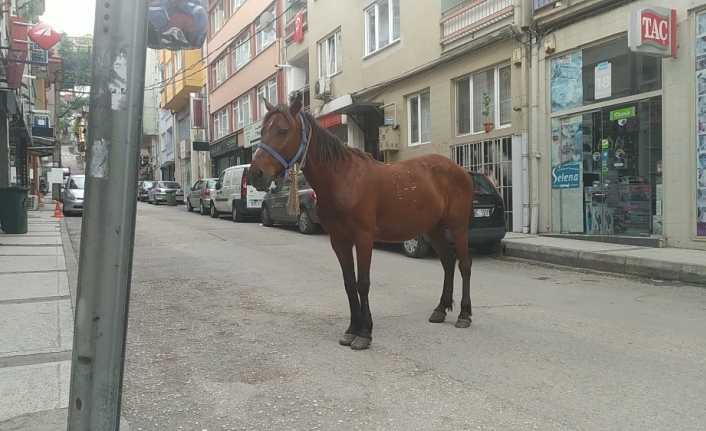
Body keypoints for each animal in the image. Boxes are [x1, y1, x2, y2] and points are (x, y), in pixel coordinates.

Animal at [248, 94, 472, 352]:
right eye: (263, 131)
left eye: (283, 131)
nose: (256, 174)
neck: (343, 178)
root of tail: (460, 170)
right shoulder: (339, 240)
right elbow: (349, 282)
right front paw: (352, 329)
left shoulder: (364, 238)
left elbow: (362, 283)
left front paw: (365, 332)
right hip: (434, 228)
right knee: (448, 262)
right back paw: (441, 309)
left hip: (458, 225)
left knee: (464, 264)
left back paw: (464, 314)